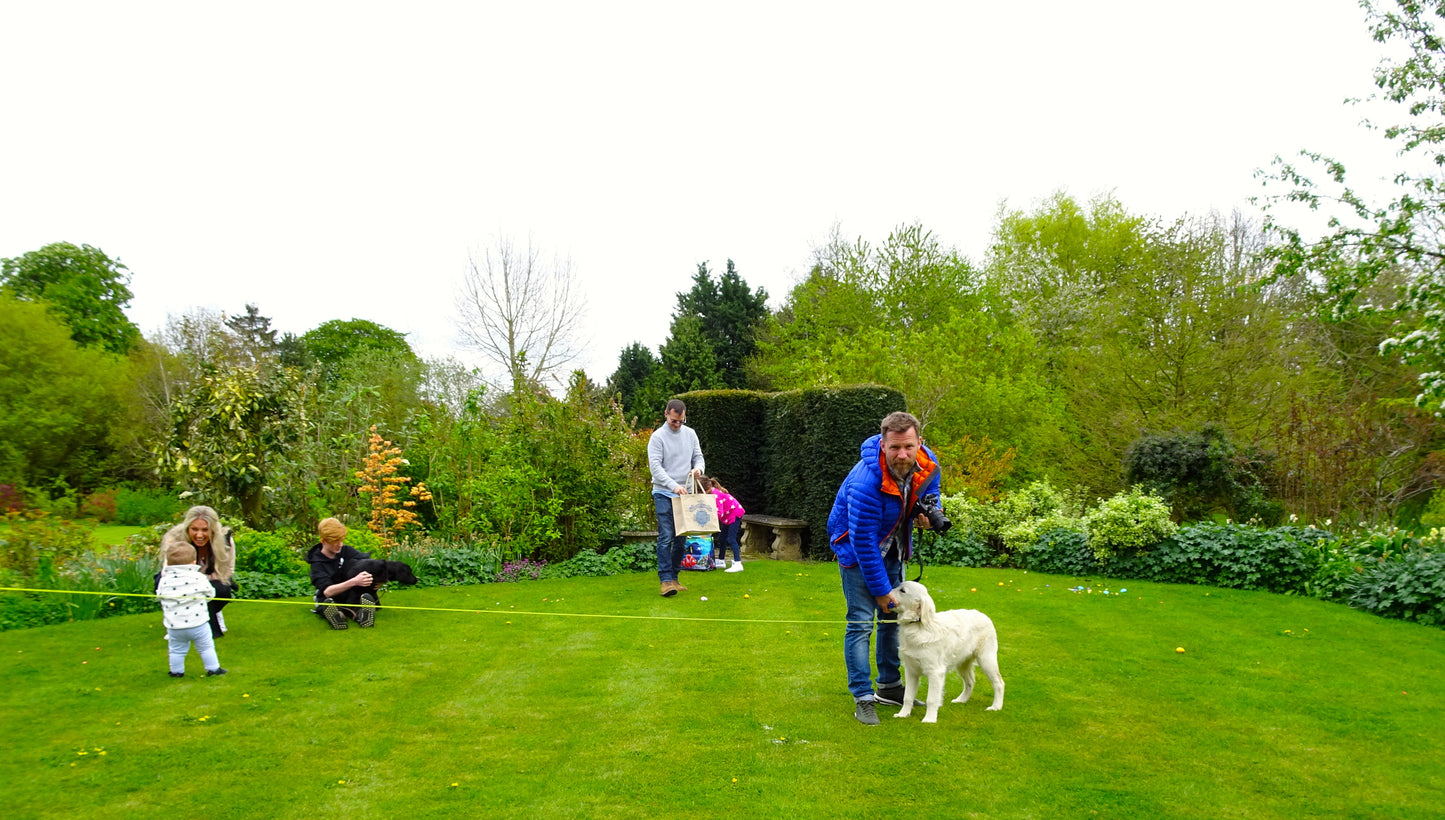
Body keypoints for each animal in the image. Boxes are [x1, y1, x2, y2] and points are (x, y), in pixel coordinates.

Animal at [890, 581, 1005, 723]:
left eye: (902, 590)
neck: (917, 626)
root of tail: (983, 614)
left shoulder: (935, 672)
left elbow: (931, 699)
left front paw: (929, 719)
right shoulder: (911, 671)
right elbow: (907, 697)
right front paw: (903, 714)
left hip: (986, 659)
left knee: (999, 683)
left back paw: (996, 706)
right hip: (963, 663)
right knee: (970, 682)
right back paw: (961, 700)